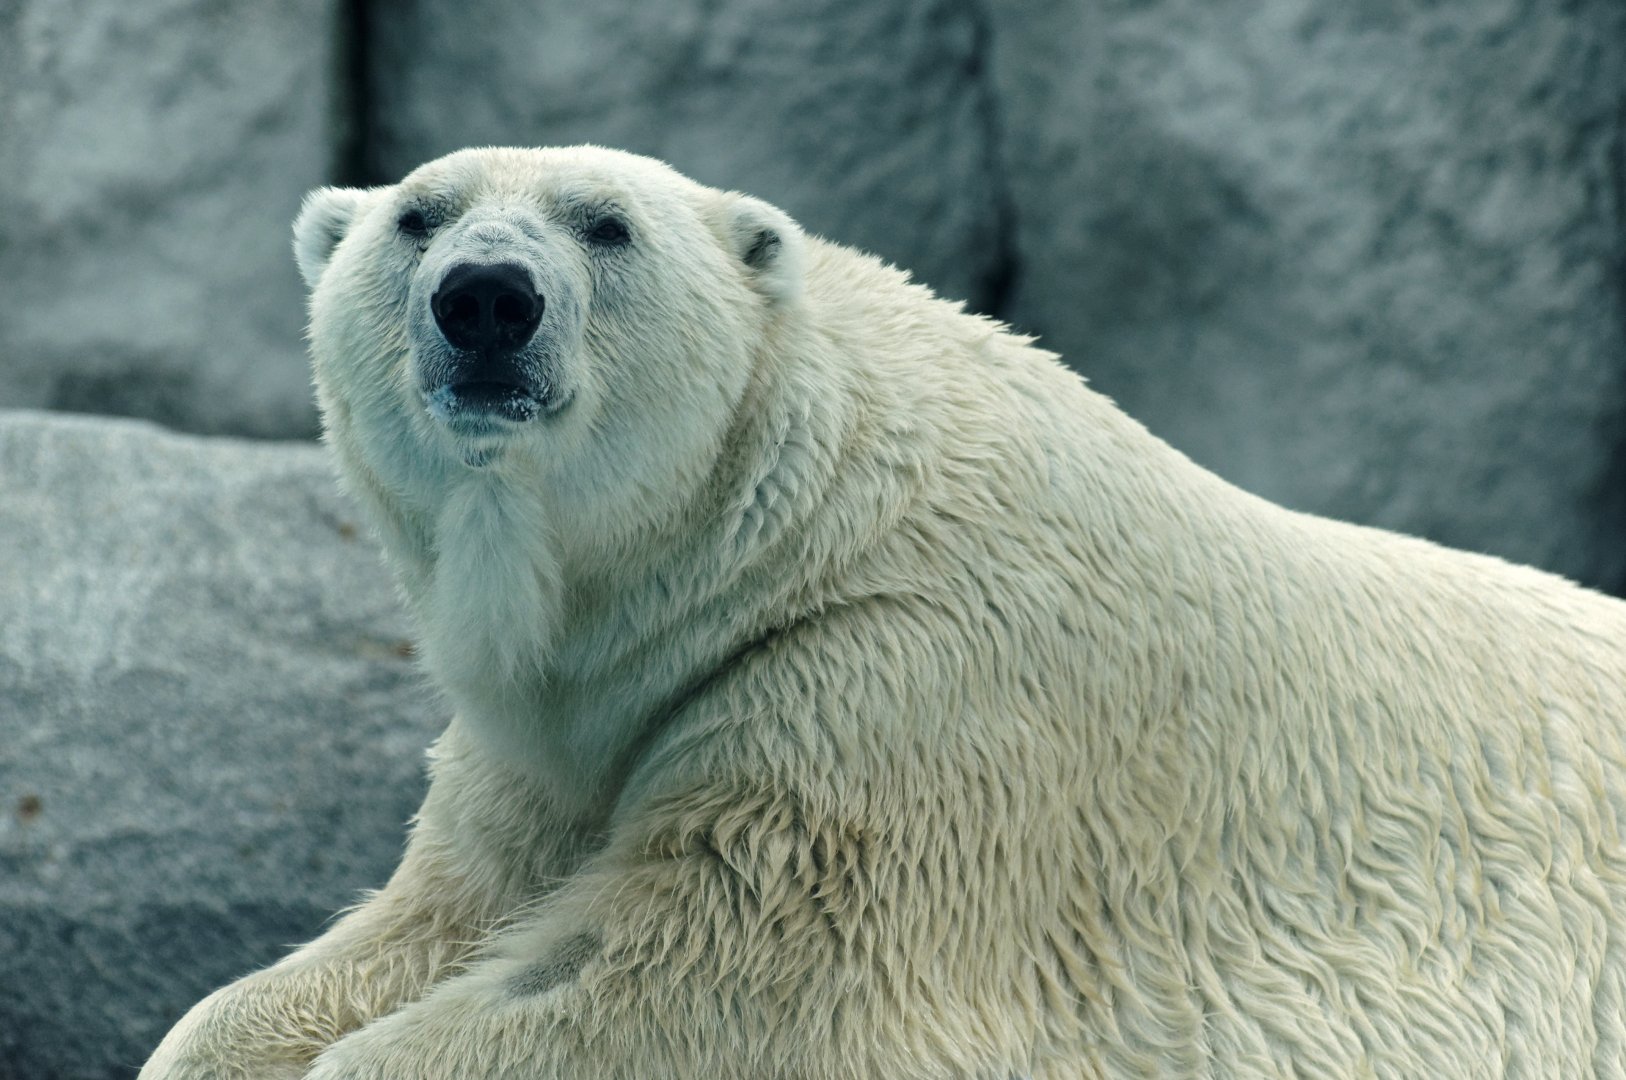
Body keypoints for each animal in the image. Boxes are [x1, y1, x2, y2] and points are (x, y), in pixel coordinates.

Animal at [141, 145, 1626, 1079]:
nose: (487, 298)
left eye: (604, 222)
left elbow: (685, 984)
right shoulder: (556, 741)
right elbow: (429, 918)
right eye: (418, 215)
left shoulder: (906, 687)